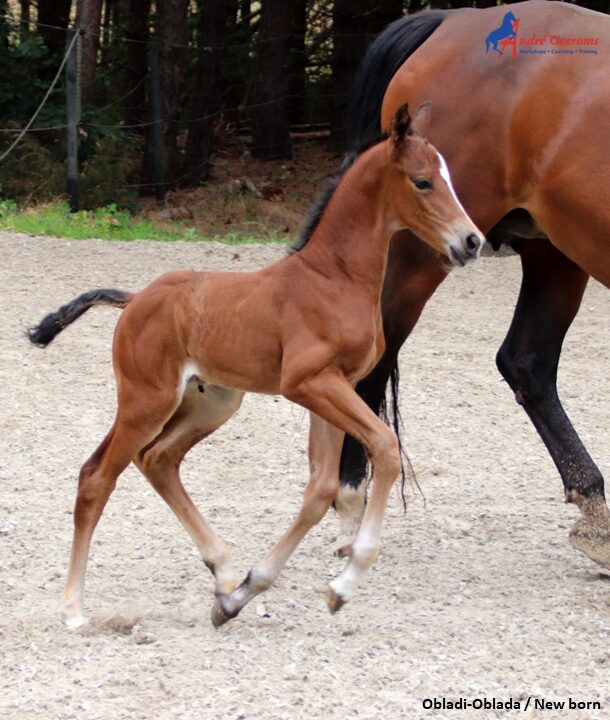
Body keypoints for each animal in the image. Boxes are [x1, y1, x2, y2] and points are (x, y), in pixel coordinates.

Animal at [29, 107, 484, 632]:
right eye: (423, 181)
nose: (472, 241)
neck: (335, 278)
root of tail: (135, 298)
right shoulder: (309, 383)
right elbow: (385, 449)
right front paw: (344, 584)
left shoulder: (337, 386)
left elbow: (321, 488)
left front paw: (244, 593)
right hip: (147, 401)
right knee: (96, 476)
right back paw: (73, 608)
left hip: (212, 403)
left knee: (158, 459)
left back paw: (224, 575)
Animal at [338, 2, 608, 572]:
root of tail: (452, 20)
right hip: (426, 251)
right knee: (376, 357)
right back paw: (350, 500)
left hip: (558, 249)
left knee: (527, 362)